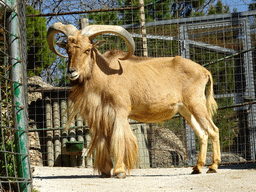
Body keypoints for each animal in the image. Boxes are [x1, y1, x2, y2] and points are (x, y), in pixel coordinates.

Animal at [47, 22, 221, 178]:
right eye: (68, 50)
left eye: (87, 50)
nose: (72, 72)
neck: (105, 77)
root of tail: (204, 71)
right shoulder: (101, 116)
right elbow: (104, 140)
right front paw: (105, 171)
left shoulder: (119, 111)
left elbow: (119, 139)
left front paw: (119, 171)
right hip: (186, 110)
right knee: (202, 134)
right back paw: (197, 168)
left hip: (197, 104)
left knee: (213, 130)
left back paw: (213, 166)